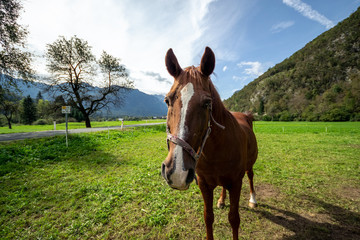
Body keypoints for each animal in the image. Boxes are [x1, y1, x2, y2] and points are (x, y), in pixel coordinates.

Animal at [161, 47, 258, 240]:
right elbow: (208, 217)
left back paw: (253, 200)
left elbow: (234, 219)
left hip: (249, 166)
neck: (217, 150)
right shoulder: (204, 184)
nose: (177, 172)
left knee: (251, 176)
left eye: (207, 102)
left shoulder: (236, 183)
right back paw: (221, 200)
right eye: (167, 100)